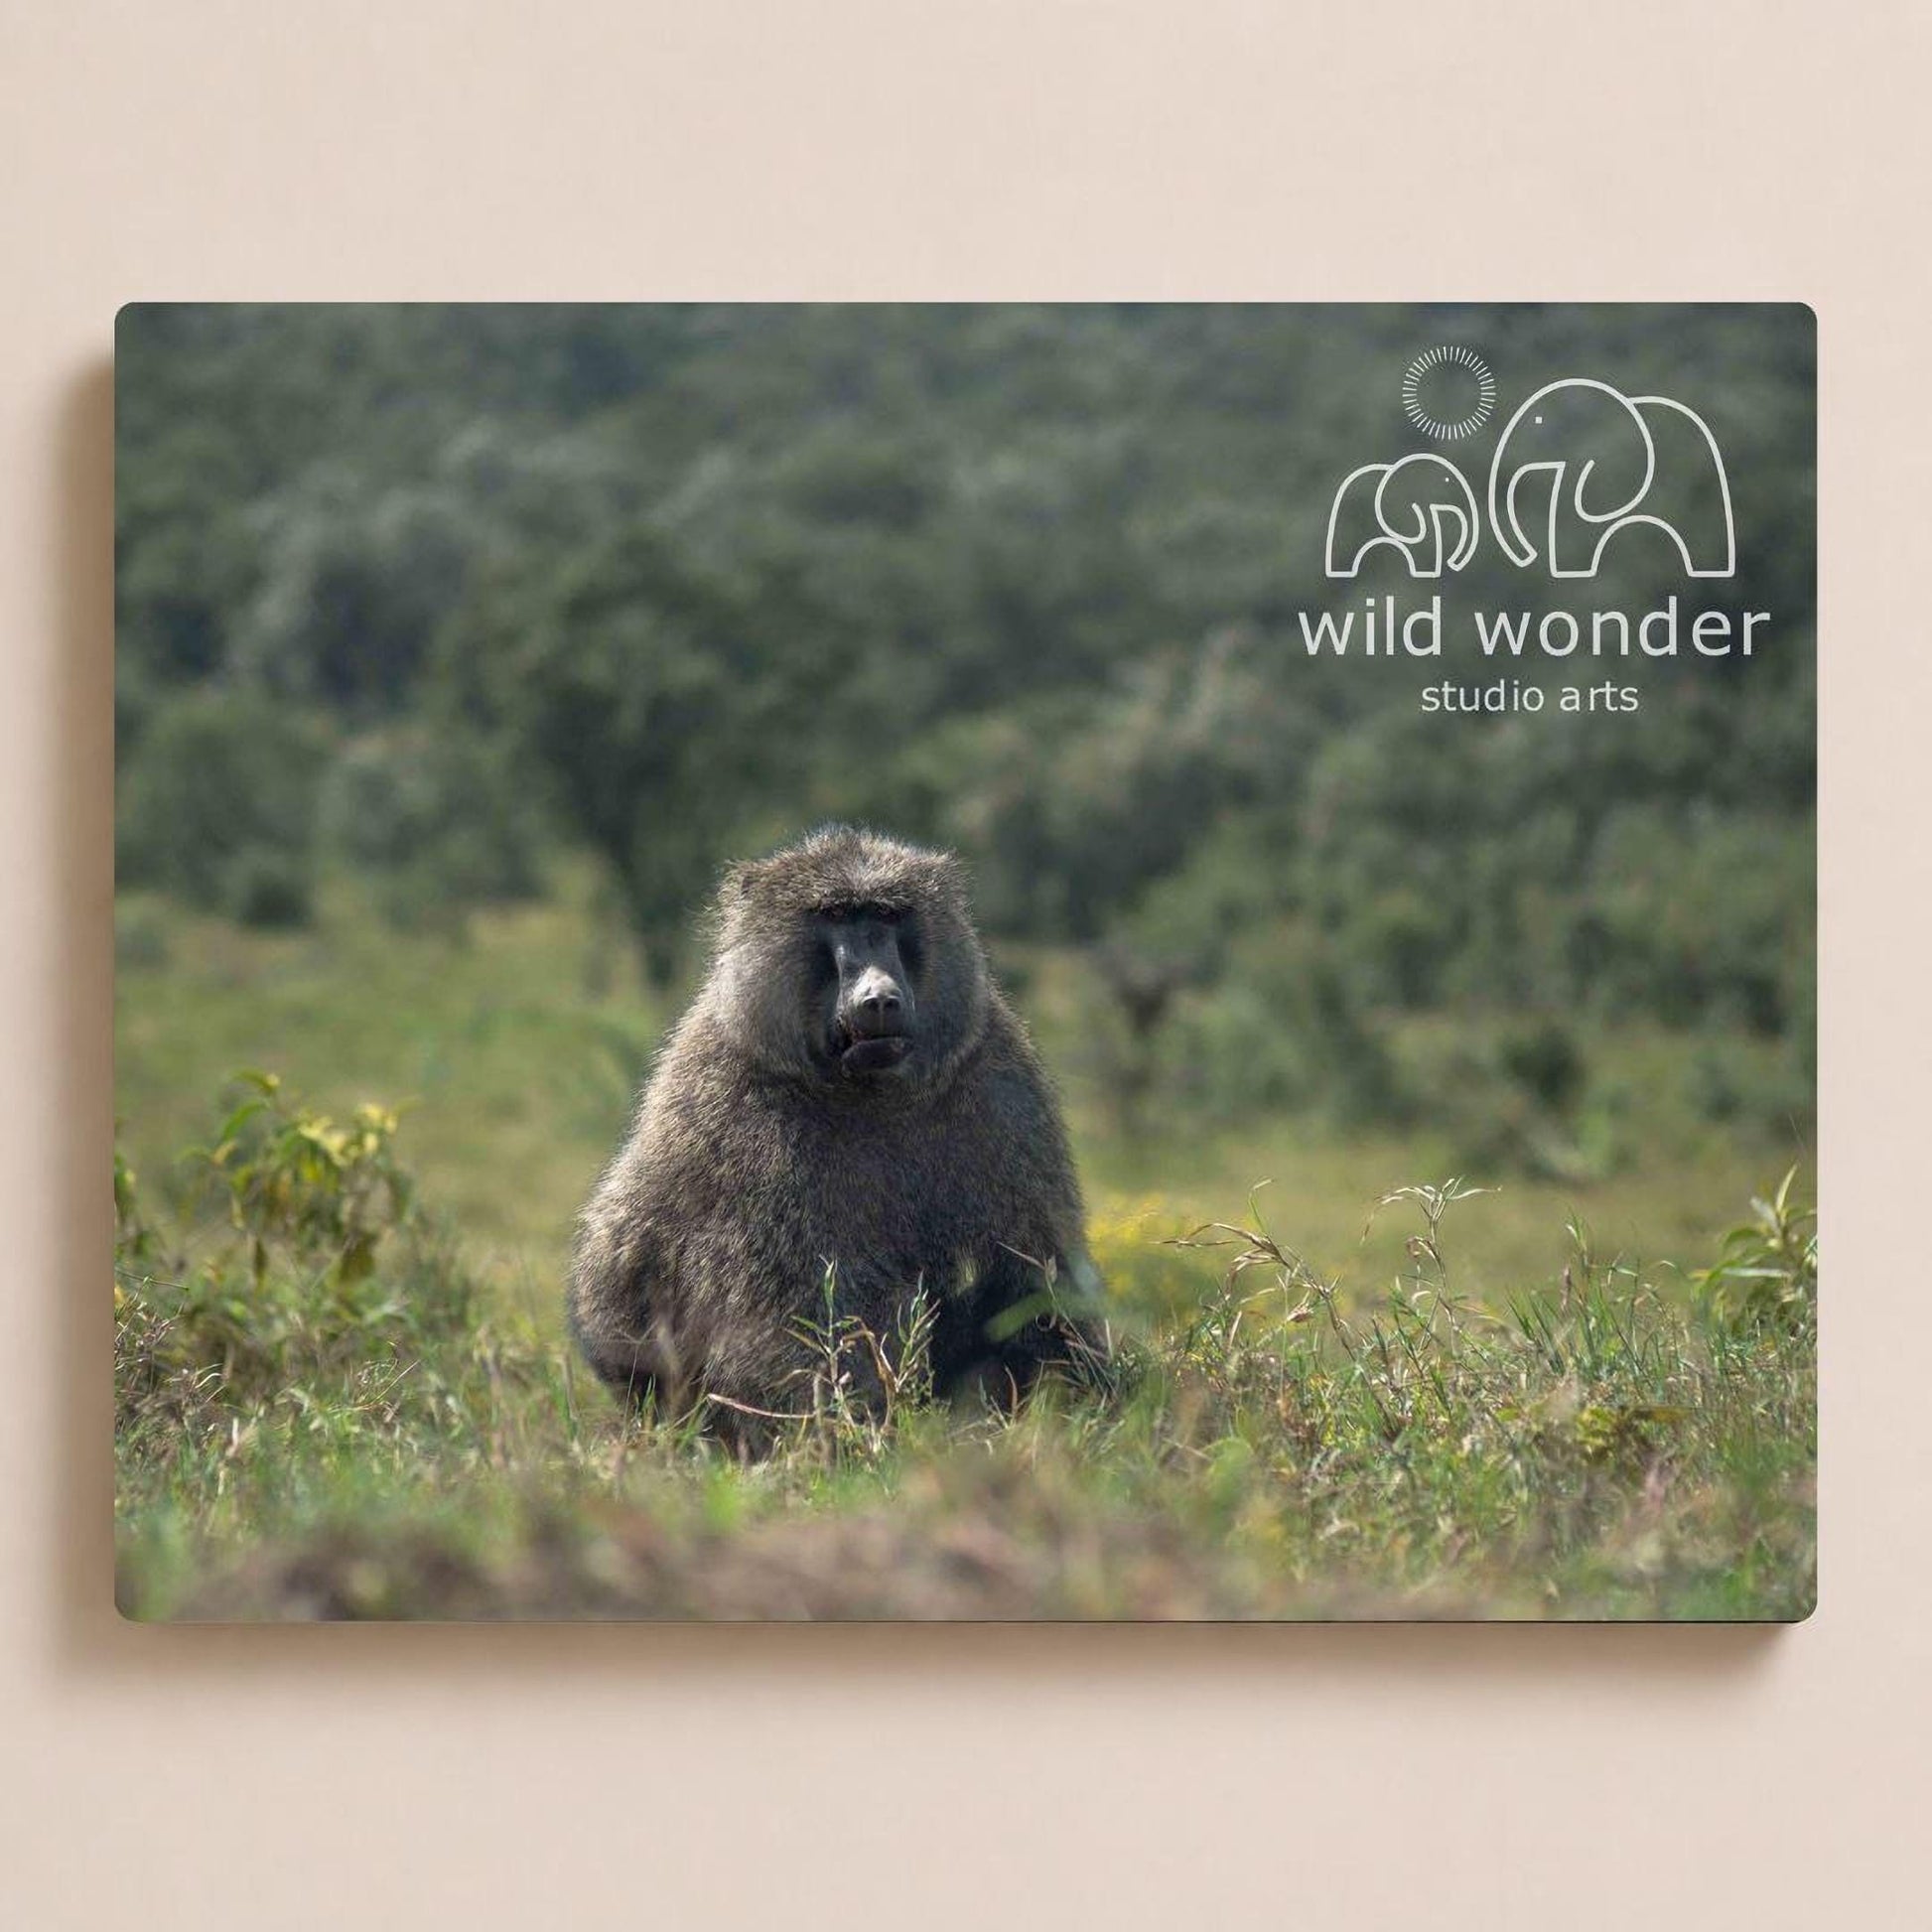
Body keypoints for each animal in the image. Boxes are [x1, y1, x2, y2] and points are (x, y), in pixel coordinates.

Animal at [568, 825, 1105, 1441]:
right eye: (835, 915)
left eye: (887, 915)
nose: (879, 998)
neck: (867, 1091)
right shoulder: (736, 1112)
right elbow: (785, 1318)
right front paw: (863, 1436)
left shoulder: (1001, 1082)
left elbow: (1037, 1283)